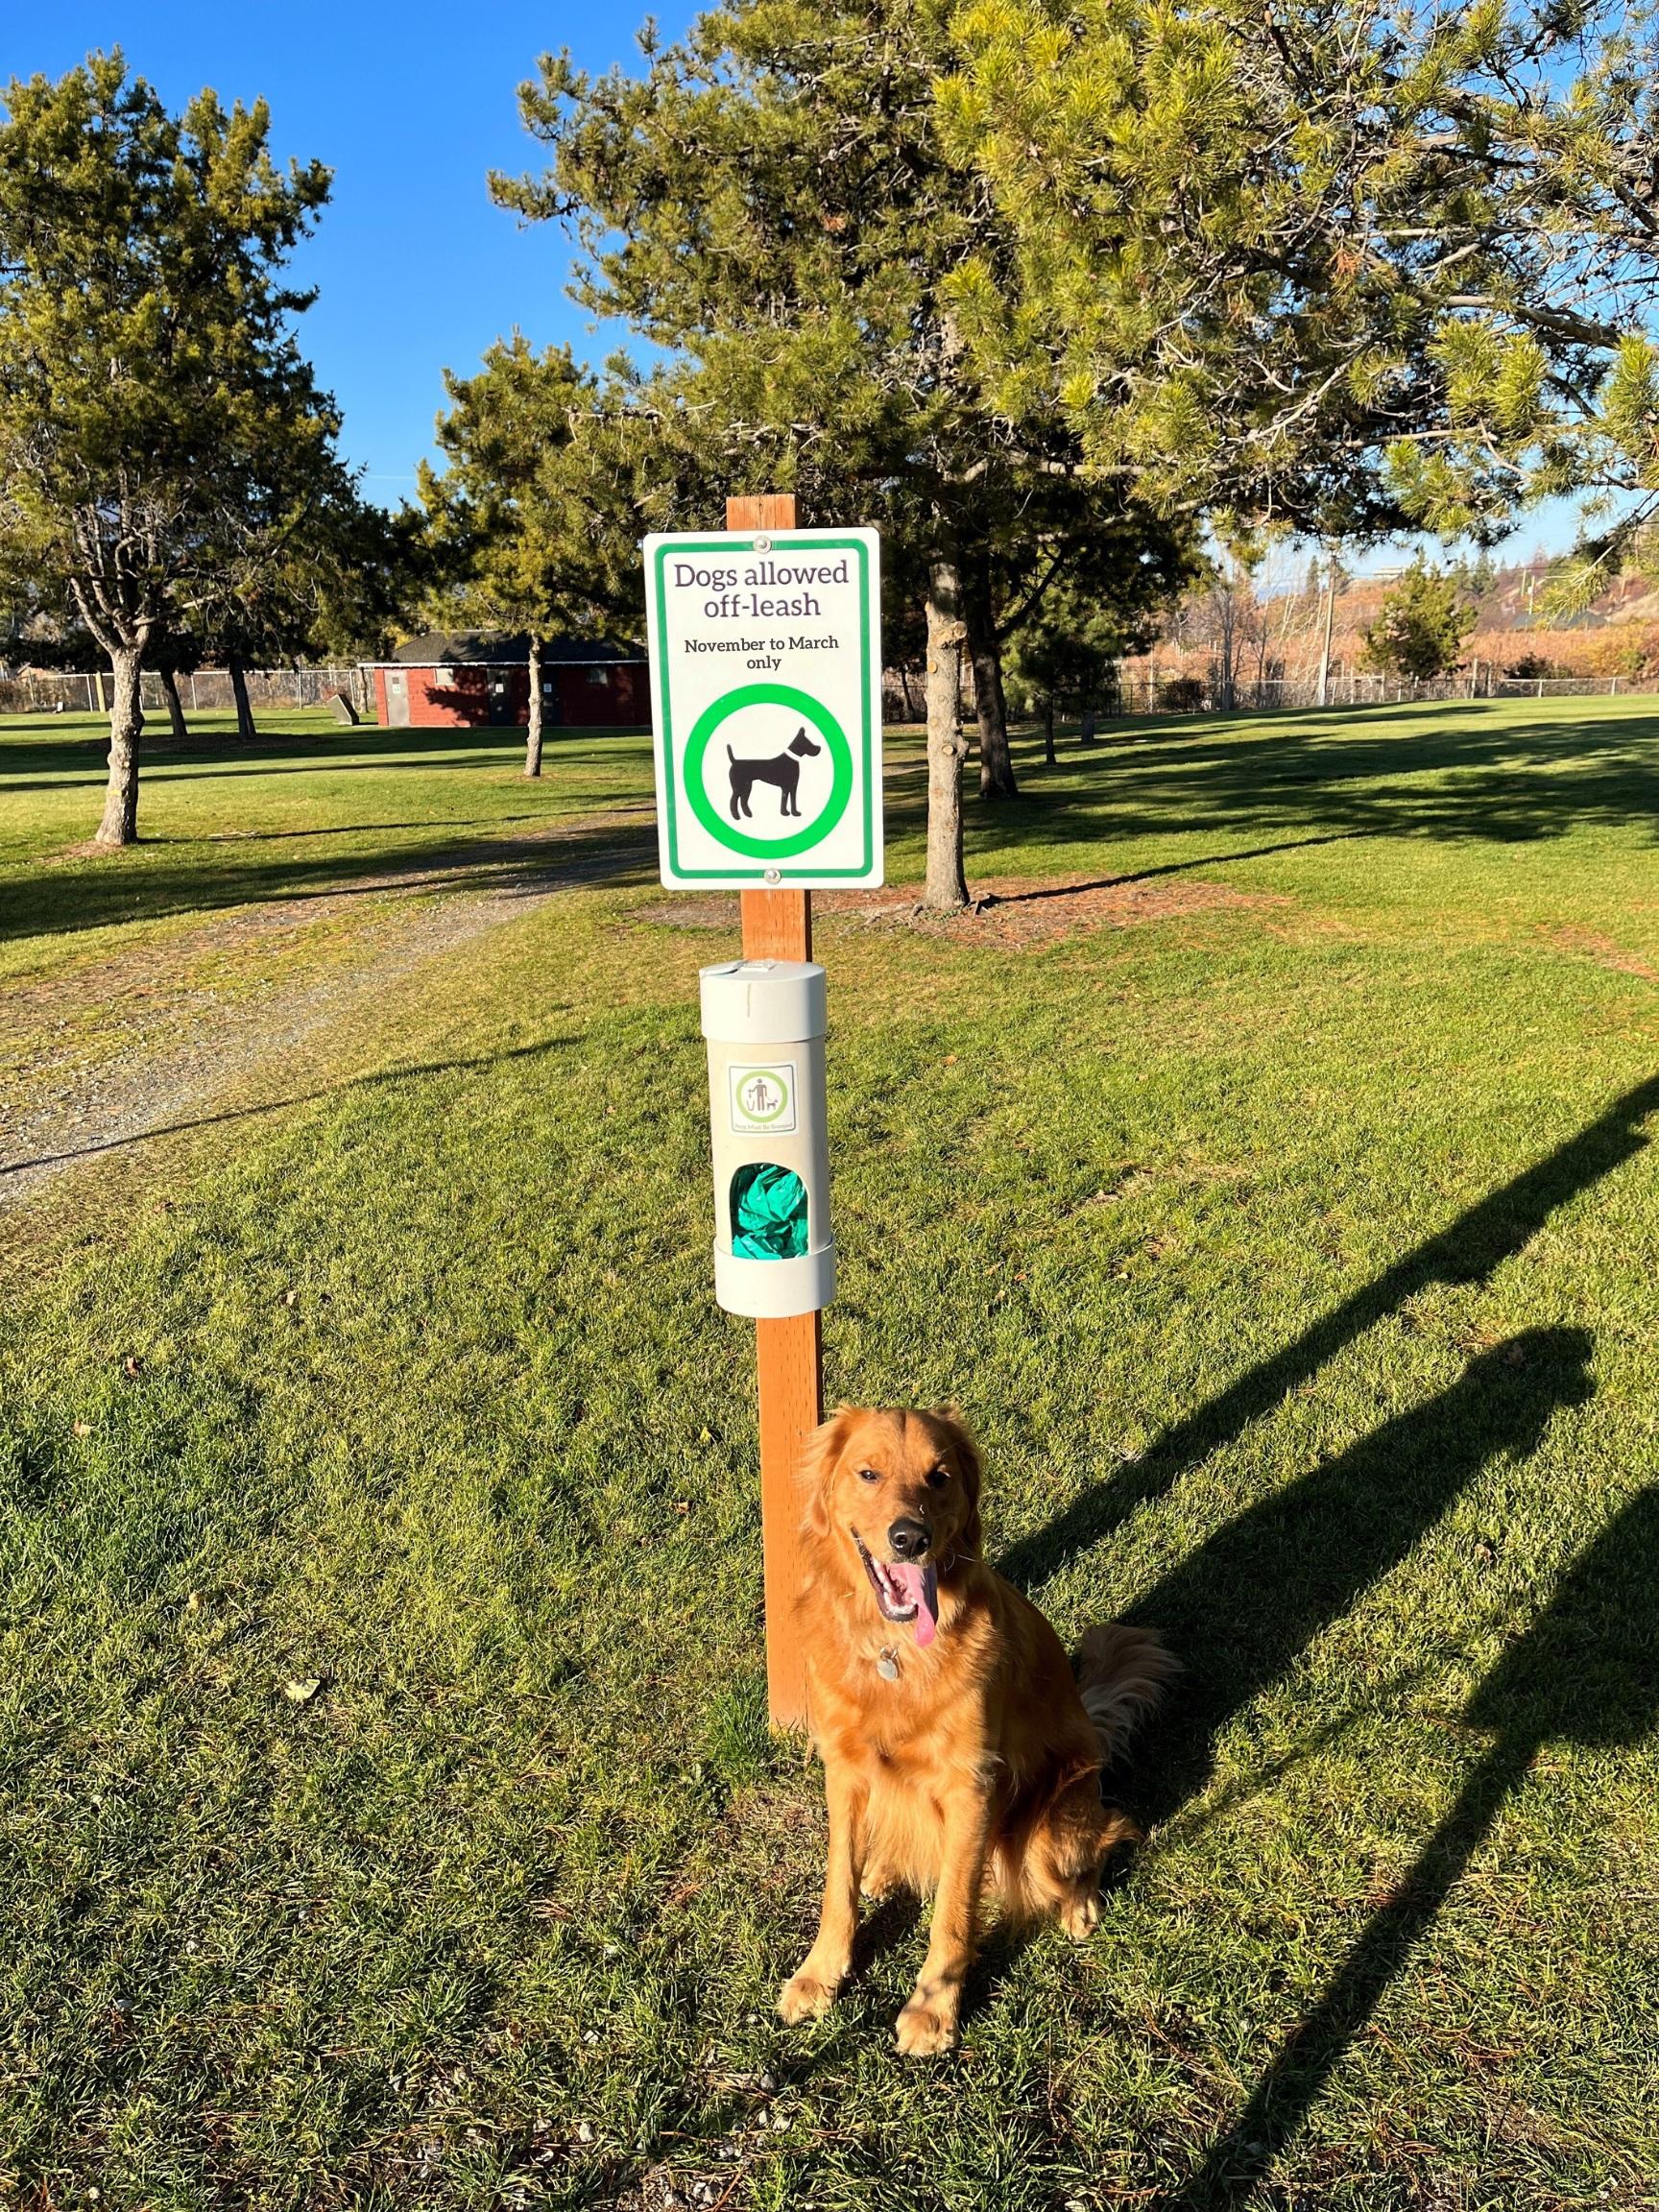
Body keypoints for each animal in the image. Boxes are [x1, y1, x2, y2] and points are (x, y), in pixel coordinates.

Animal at [779, 1407, 1167, 2043]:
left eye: (939, 1477)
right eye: (868, 1473)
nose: (910, 1538)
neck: (895, 1654)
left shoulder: (972, 1787)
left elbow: (953, 1910)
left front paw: (933, 2008)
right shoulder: (845, 1768)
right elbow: (838, 1883)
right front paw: (818, 1975)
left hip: (1051, 1829)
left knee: (1106, 1836)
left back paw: (1080, 1905)